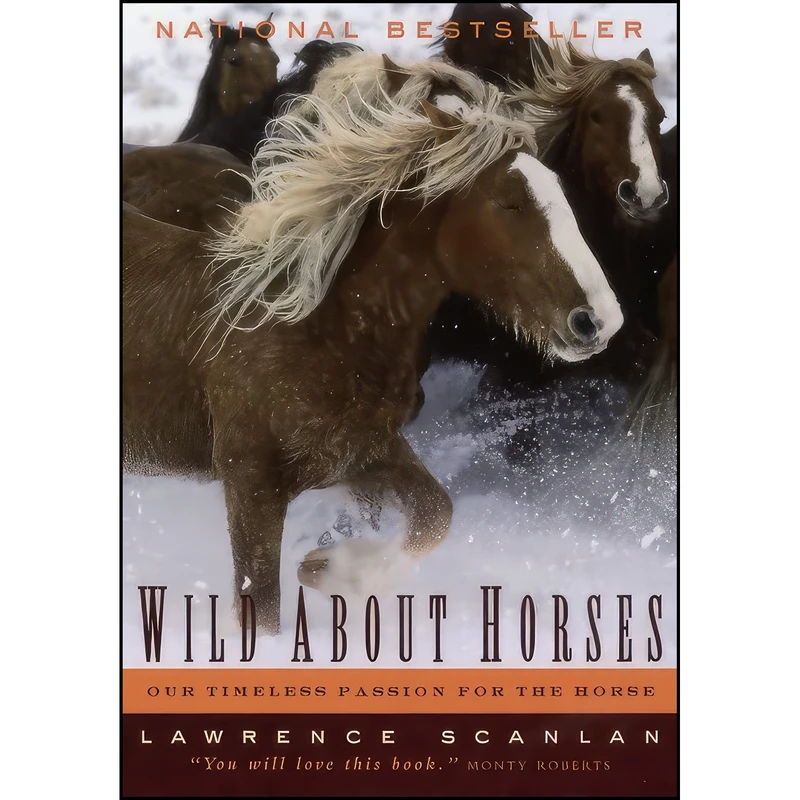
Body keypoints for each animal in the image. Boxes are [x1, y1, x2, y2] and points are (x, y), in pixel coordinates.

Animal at [123, 53, 624, 633]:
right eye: (509, 202)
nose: (599, 321)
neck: (318, 328)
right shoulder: (251, 483)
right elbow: (263, 610)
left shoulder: (362, 455)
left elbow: (436, 515)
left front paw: (333, 570)